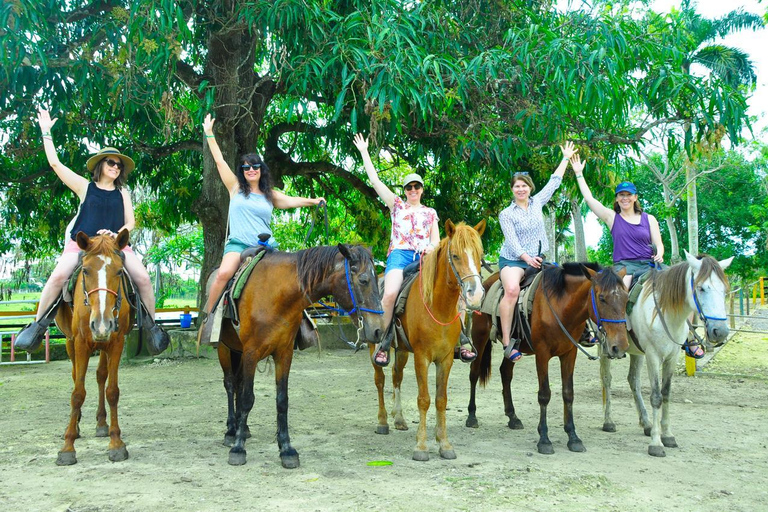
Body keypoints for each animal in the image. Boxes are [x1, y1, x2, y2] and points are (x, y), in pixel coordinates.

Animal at [53, 230, 132, 466]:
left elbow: (112, 391)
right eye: (86, 271)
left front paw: (116, 443)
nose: (102, 323)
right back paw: (77, 425)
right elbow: (77, 393)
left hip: (103, 344)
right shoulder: (80, 342)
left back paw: (102, 423)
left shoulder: (116, 342)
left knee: (100, 375)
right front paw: (67, 447)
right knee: (75, 376)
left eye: (119, 271)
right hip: (70, 342)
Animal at [218, 244, 388, 468]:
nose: (378, 330)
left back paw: (242, 428)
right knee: (230, 384)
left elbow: (282, 400)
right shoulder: (250, 353)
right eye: (363, 280)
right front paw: (238, 448)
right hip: (225, 349)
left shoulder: (284, 353)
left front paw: (286, 449)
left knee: (237, 383)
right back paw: (232, 431)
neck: (276, 296)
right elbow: (247, 398)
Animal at [368, 219, 484, 460]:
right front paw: (421, 446)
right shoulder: (422, 357)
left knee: (396, 376)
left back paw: (399, 418)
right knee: (380, 379)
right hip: (373, 347)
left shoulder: (445, 359)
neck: (438, 307)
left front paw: (444, 443)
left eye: (480, 254)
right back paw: (383, 421)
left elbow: (441, 400)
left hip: (401, 349)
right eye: (455, 255)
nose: (476, 294)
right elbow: (424, 399)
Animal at [464, 266, 628, 454]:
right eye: (602, 298)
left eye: (626, 298)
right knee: (474, 373)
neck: (561, 308)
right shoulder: (542, 354)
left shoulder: (569, 353)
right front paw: (544, 439)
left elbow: (568, 393)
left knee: (505, 373)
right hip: (479, 337)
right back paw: (472, 416)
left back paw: (513, 417)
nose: (619, 347)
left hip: (514, 347)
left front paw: (573, 437)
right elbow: (544, 394)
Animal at [600, 252, 732, 456]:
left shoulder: (672, 357)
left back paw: (646, 423)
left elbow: (667, 394)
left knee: (633, 380)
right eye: (701, 288)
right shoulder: (653, 356)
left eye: (724, 290)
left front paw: (667, 435)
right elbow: (656, 396)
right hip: (607, 348)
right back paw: (608, 422)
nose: (721, 331)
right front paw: (656, 443)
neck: (666, 313)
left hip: (637, 351)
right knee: (607, 380)